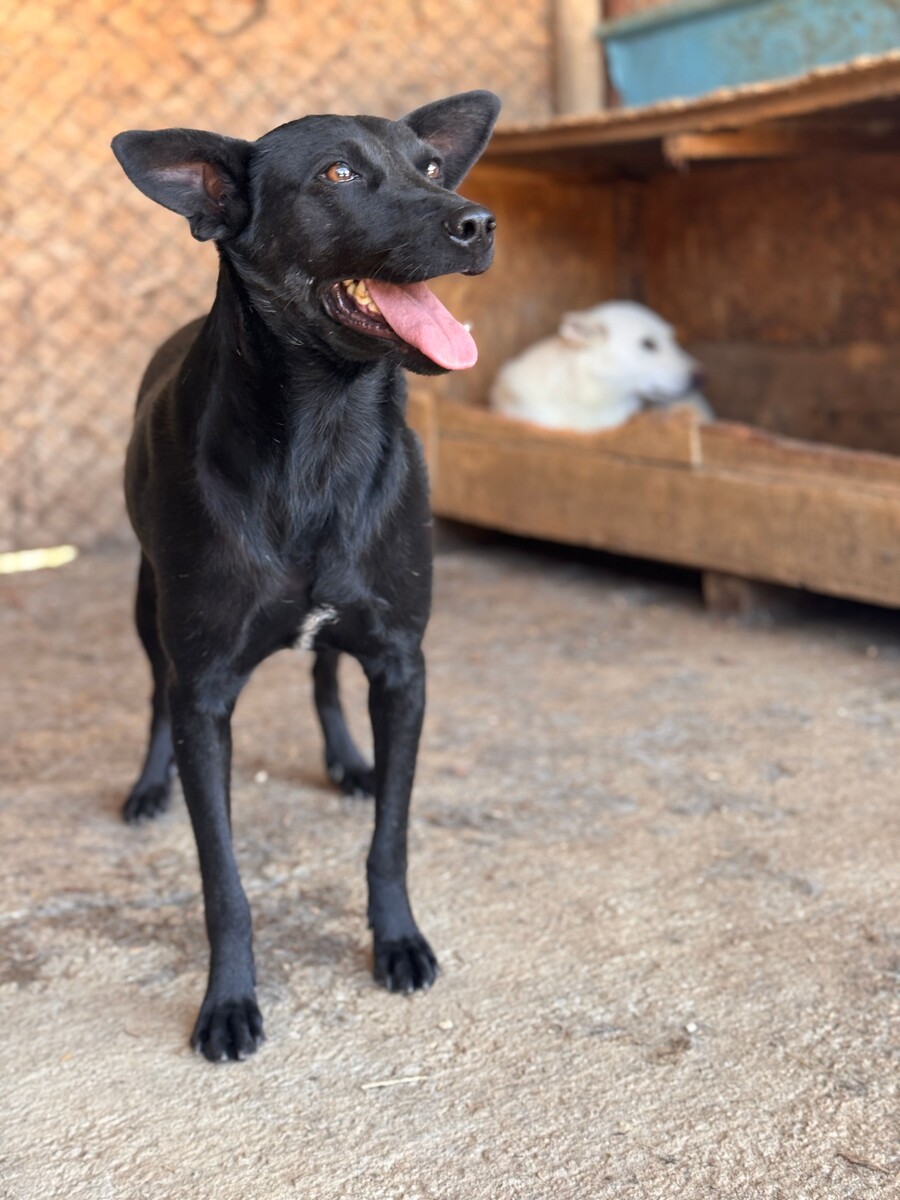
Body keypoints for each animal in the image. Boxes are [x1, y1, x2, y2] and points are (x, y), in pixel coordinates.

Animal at [111, 90, 500, 1061]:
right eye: (339, 173)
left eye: (429, 167)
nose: (479, 223)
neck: (323, 432)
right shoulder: (206, 693)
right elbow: (224, 884)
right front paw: (227, 1002)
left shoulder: (402, 664)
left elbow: (390, 839)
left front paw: (398, 941)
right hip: (146, 604)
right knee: (153, 692)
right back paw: (147, 787)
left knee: (325, 671)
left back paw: (346, 760)